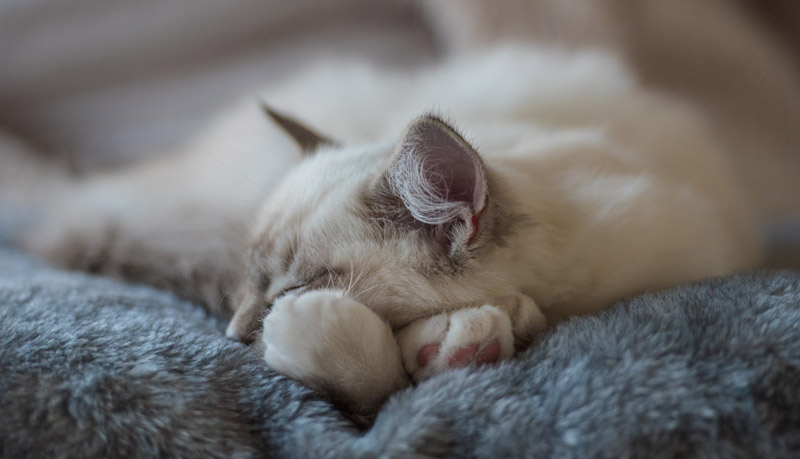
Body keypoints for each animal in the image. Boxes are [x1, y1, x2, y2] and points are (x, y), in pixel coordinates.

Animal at [3, 47, 760, 416]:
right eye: (245, 284)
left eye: (291, 287)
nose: (233, 336)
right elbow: (382, 374)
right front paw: (464, 339)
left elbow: (379, 373)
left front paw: (464, 340)